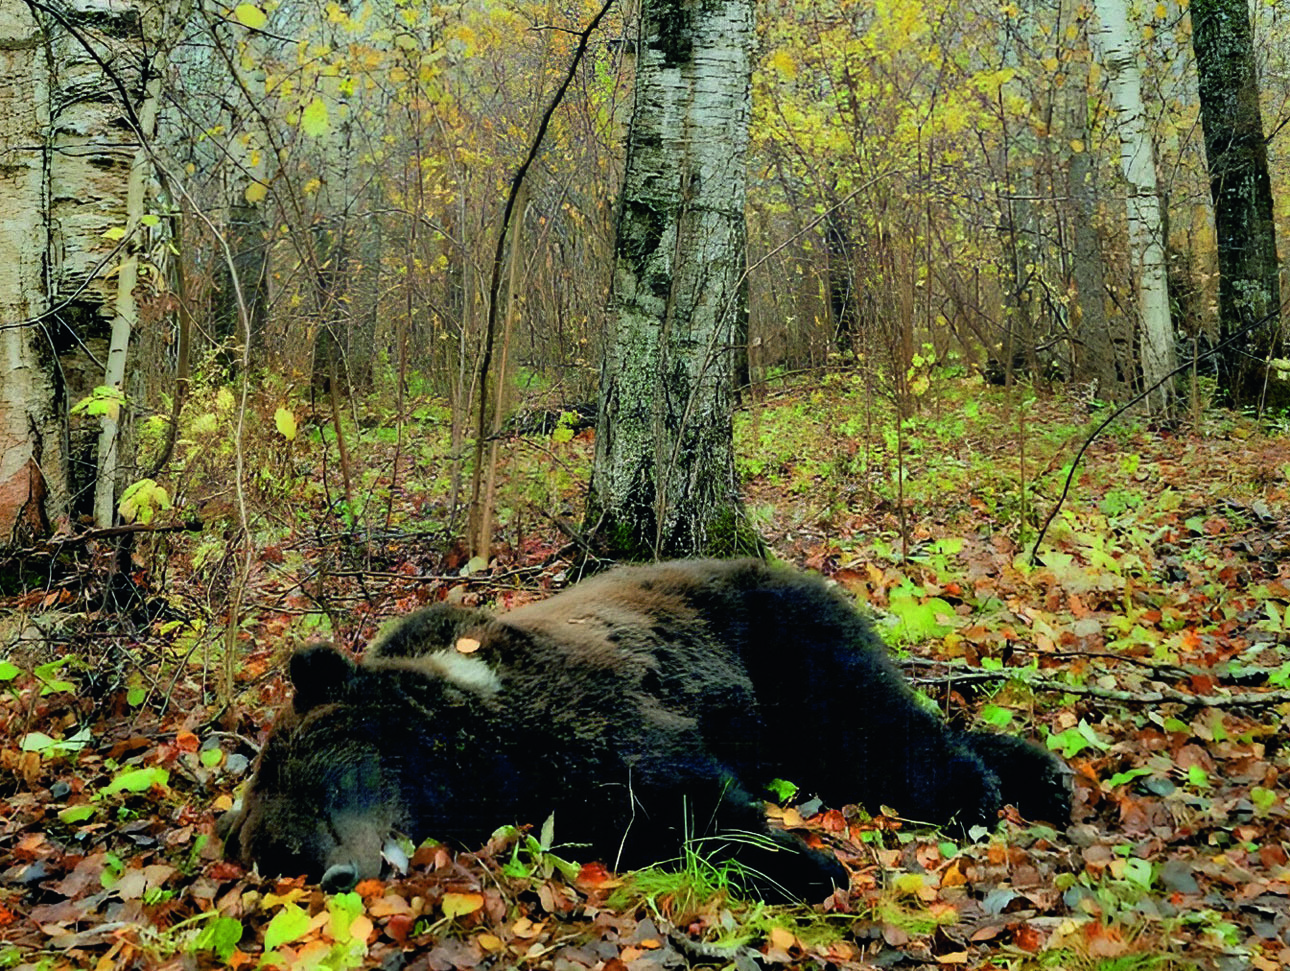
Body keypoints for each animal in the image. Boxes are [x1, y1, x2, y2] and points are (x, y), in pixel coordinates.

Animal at [219, 557, 1068, 897]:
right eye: (284, 854)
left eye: (324, 787)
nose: (339, 873)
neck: (469, 759)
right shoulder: (546, 794)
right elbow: (647, 822)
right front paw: (804, 861)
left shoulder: (578, 707)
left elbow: (676, 785)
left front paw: (811, 864)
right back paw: (1044, 777)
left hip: (779, 648)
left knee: (876, 725)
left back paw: (983, 789)